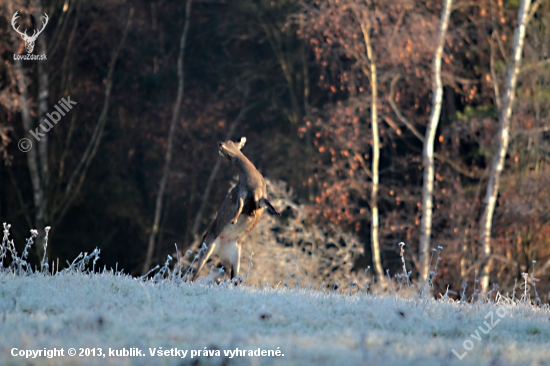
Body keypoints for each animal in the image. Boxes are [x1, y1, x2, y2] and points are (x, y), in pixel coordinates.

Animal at [192, 137, 282, 284]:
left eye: (230, 141)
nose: (220, 143)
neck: (253, 182)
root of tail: (220, 248)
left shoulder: (261, 197)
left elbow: (269, 204)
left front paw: (277, 212)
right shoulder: (241, 193)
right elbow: (239, 207)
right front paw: (234, 219)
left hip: (234, 255)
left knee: (233, 277)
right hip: (208, 245)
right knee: (193, 273)